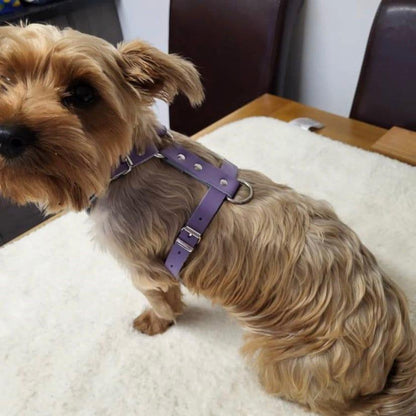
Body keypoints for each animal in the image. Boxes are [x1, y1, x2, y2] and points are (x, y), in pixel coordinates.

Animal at [0, 24, 414, 414]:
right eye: (6, 77)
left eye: (84, 94)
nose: (8, 134)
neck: (130, 162)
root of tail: (396, 340)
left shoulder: (140, 264)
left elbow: (160, 298)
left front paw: (155, 321)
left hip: (285, 356)